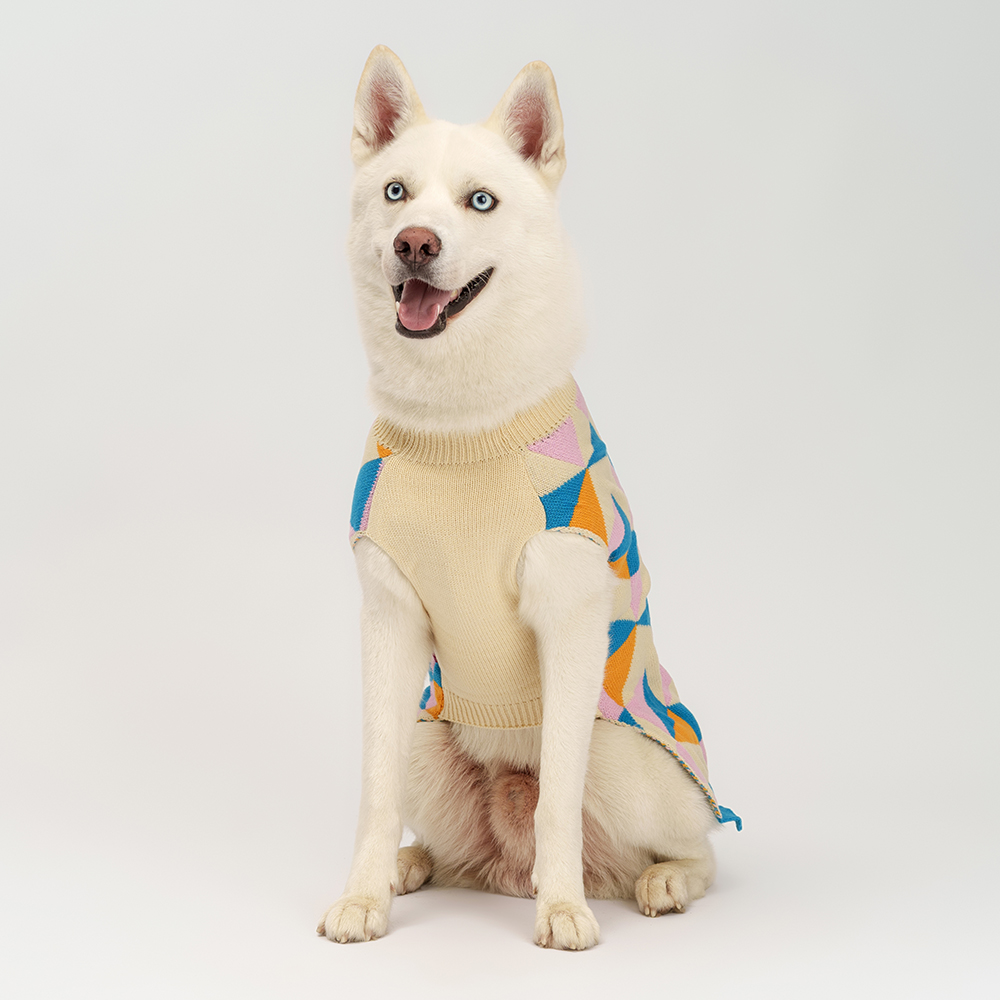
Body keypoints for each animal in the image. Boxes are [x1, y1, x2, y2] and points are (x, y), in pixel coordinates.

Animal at [317, 46, 740, 951]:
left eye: (480, 200)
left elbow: (558, 810)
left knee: (691, 845)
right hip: (426, 738)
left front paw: (566, 909)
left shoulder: (570, 624)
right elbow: (373, 794)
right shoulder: (388, 625)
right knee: (447, 845)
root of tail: (501, 866)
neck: (460, 421)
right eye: (396, 192)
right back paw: (413, 866)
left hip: (623, 753)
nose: (414, 243)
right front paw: (364, 895)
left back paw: (653, 882)